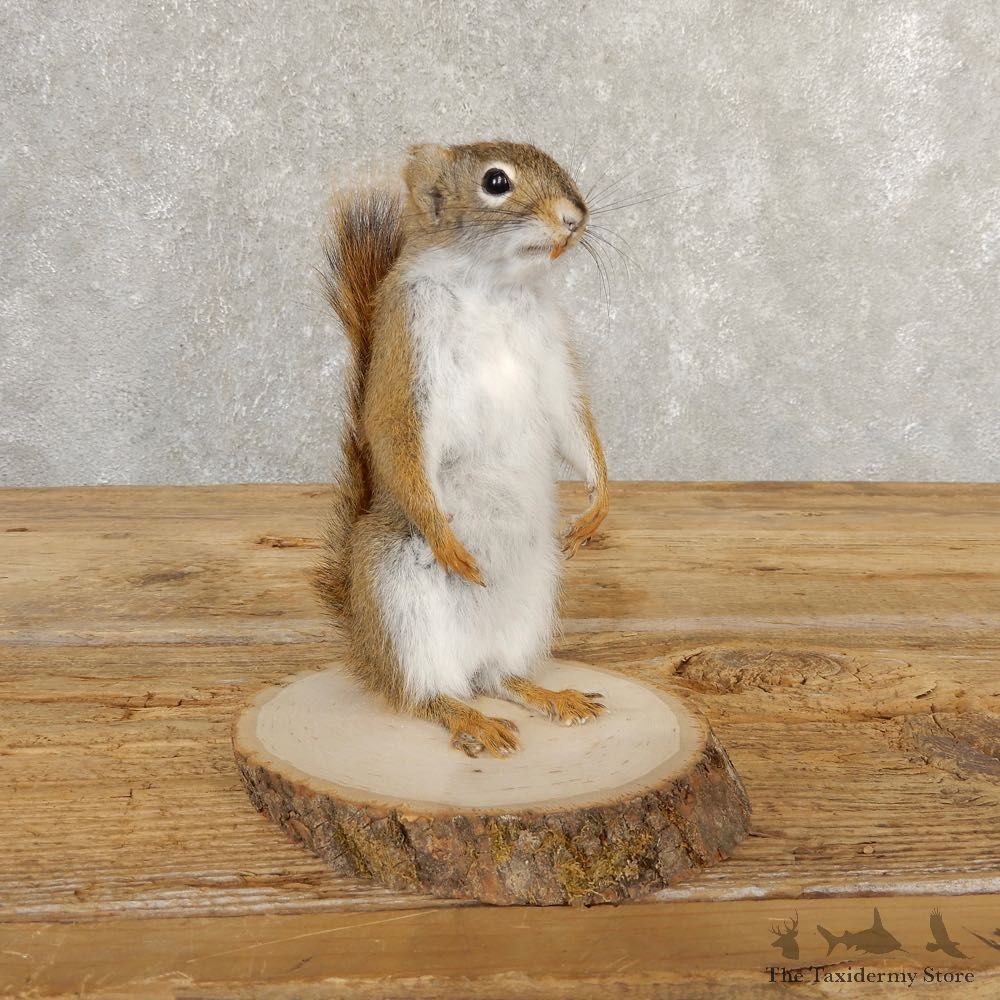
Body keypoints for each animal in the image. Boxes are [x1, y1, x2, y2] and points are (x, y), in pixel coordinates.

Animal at [314, 141, 609, 758]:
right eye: (495, 182)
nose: (575, 218)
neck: (493, 288)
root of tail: (365, 647)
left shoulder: (552, 356)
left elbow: (575, 424)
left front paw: (598, 506)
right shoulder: (409, 345)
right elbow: (394, 433)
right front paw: (450, 543)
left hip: (533, 599)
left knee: (497, 677)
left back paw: (548, 694)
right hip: (400, 602)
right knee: (426, 693)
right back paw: (468, 718)